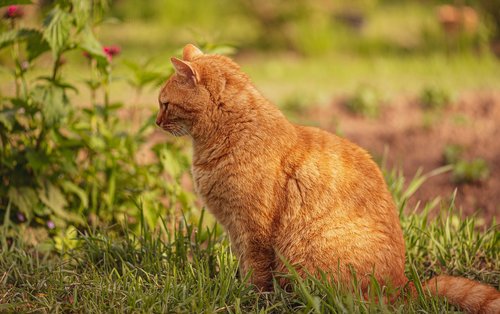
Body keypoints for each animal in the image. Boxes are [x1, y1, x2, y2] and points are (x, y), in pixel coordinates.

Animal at [157, 44, 500, 314]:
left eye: (164, 104)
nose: (157, 122)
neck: (231, 133)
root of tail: (402, 287)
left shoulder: (253, 231)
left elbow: (257, 273)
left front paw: (250, 300)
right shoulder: (236, 230)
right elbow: (245, 266)